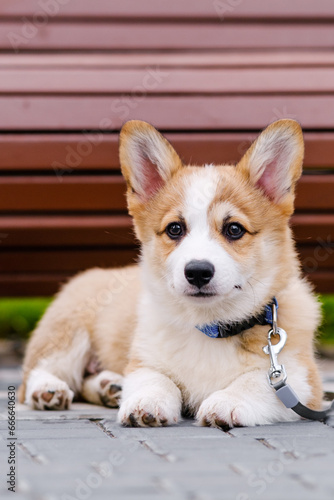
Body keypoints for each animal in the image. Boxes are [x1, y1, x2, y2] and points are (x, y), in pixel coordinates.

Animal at [19, 119, 322, 428]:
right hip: (68, 331)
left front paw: (227, 401)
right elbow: (157, 380)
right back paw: (49, 390)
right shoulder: (144, 361)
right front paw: (146, 402)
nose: (198, 272)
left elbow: (256, 381)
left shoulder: (302, 379)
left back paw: (109, 386)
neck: (209, 325)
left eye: (234, 229)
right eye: (175, 229)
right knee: (35, 374)